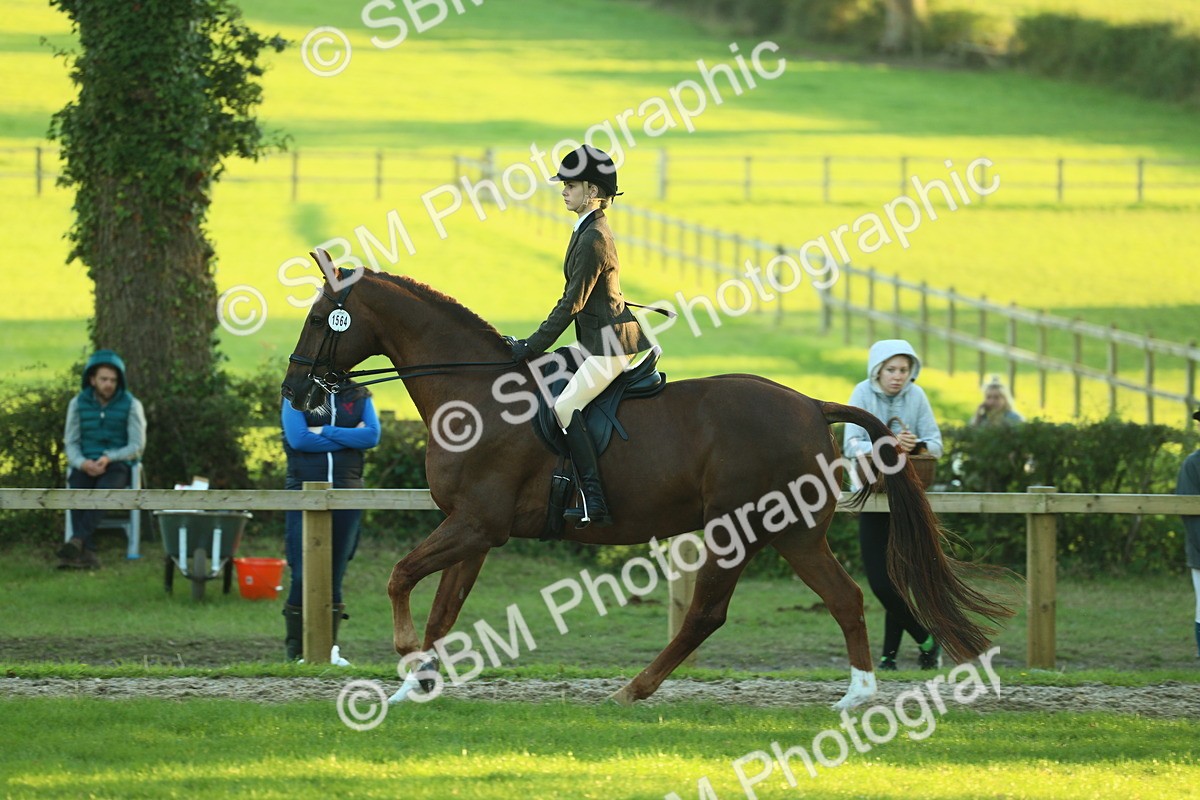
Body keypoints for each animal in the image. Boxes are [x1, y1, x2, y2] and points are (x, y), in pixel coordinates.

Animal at [281, 264, 1012, 710]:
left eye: (319, 319)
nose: (295, 395)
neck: (476, 393)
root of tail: (810, 404)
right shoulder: (477, 532)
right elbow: (442, 609)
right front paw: (419, 684)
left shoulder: (474, 523)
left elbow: (400, 577)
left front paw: (406, 658)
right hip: (779, 533)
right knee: (813, 602)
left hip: (757, 530)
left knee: (744, 609)